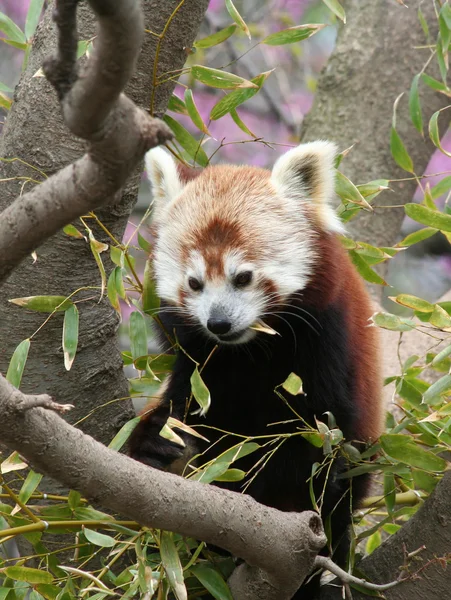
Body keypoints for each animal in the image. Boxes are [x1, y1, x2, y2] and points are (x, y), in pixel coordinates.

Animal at [129, 142, 384, 600]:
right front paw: (156, 440)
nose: (218, 323)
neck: (250, 352)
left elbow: (310, 445)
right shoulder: (200, 362)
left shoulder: (325, 347)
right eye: (194, 283)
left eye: (243, 277)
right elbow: (186, 410)